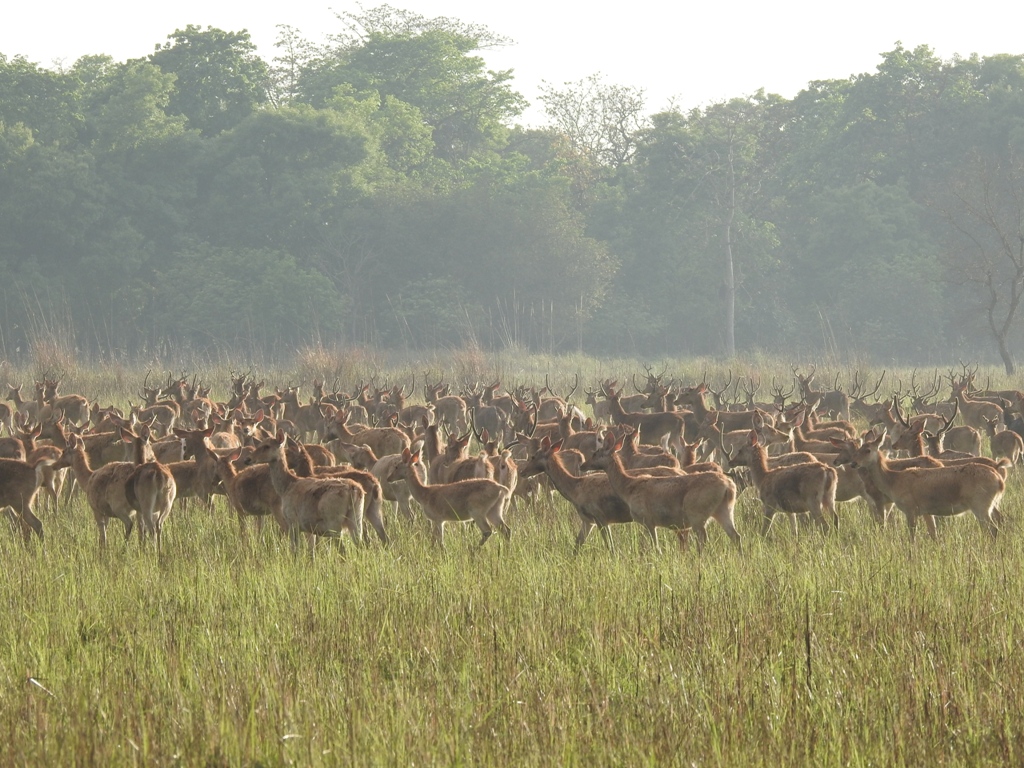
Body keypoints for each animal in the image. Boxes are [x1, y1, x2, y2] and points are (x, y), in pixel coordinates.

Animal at [581, 434, 741, 552]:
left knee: (703, 540)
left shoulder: (648, 519)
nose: (583, 465)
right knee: (736, 536)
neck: (627, 488)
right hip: (724, 510)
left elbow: (655, 547)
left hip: (697, 513)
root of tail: (728, 486)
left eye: (595, 454)